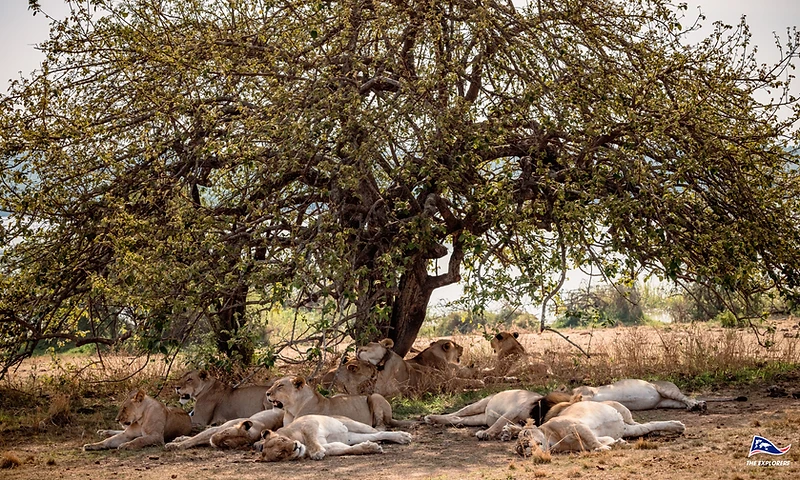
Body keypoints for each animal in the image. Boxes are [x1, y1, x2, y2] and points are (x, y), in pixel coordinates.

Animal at [249, 414, 412, 462]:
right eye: (281, 454)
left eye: (283, 441)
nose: (295, 447)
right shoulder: (331, 447)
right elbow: (349, 450)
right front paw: (370, 447)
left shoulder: (308, 422)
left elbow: (310, 437)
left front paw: (316, 452)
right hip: (350, 436)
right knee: (373, 436)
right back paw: (379, 441)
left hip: (353, 424)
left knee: (378, 431)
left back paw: (402, 436)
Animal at [266, 376, 413, 428]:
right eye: (274, 384)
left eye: (280, 386)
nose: (267, 393)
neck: (291, 409)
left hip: (375, 396)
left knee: (383, 424)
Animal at [509, 397, 686, 455]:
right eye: (520, 449)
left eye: (525, 435)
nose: (526, 446)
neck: (552, 441)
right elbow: (602, 440)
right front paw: (617, 443)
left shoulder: (577, 426)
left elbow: (593, 441)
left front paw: (604, 448)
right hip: (632, 429)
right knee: (649, 425)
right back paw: (676, 426)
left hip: (621, 409)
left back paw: (677, 426)